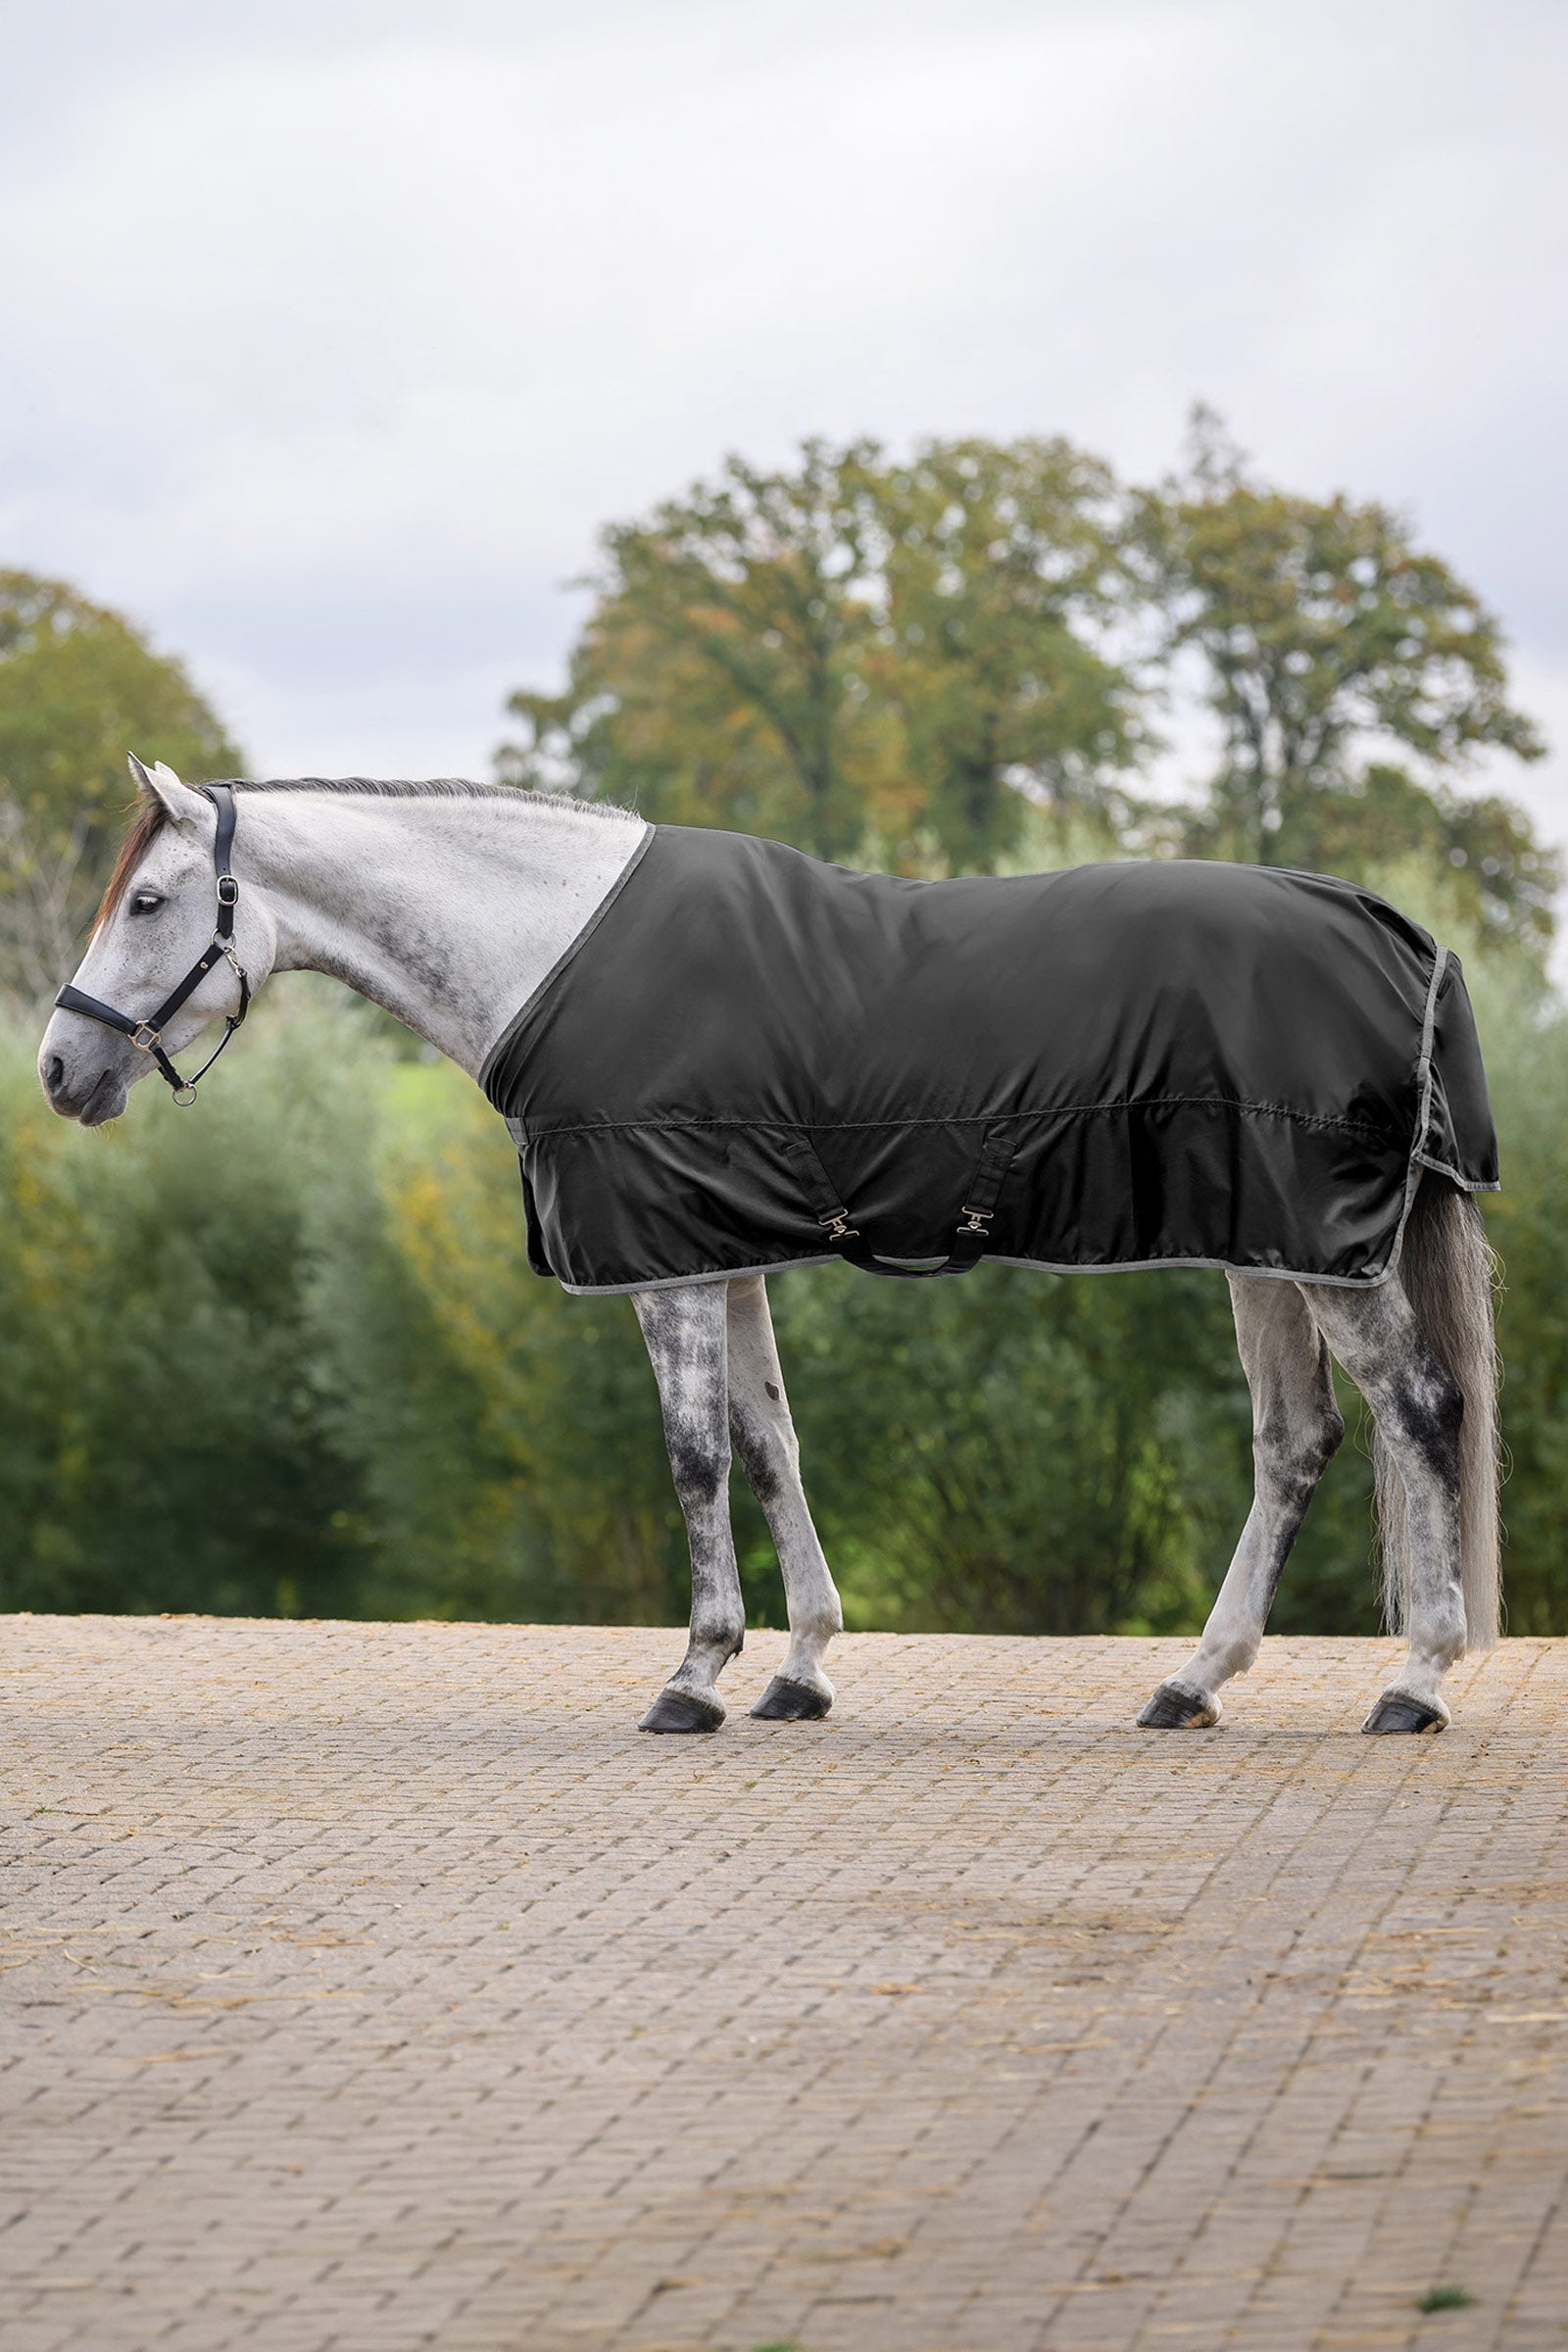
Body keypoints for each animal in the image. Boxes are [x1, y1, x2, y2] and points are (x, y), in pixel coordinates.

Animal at [39, 761, 1500, 1738]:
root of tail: (1399, 928)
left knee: (1420, 1408)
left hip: (1319, 1255)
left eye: (151, 899)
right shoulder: (723, 1250)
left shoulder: (671, 1263)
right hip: (1270, 1253)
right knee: (1298, 1441)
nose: (59, 1069)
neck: (551, 946)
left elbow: (692, 1455)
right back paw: (1192, 1682)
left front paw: (695, 1676)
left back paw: (1413, 1683)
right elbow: (768, 1442)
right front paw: (798, 1670)